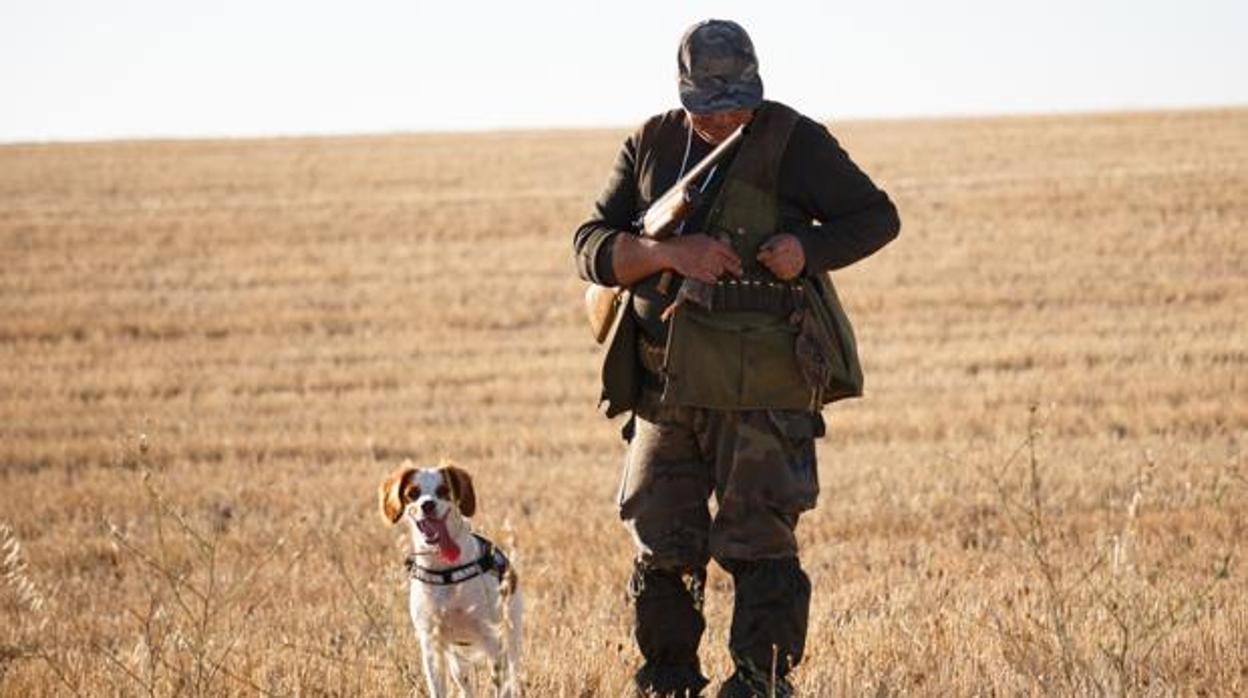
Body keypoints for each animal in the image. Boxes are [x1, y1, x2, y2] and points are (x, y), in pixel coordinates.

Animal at [376, 462, 519, 694]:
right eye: (413, 493)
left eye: (444, 490)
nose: (427, 505)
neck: (445, 570)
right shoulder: (431, 644)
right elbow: (438, 688)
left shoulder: (492, 639)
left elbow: (501, 687)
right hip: (457, 657)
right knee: (465, 683)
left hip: (511, 636)